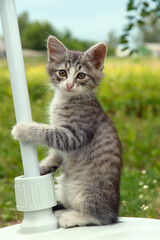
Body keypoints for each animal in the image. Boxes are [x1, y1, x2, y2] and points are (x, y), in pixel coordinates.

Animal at [12, 35, 121, 229]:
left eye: (81, 75)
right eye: (62, 72)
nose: (69, 84)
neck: (65, 99)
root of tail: (114, 212)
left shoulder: (74, 134)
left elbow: (47, 132)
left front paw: (23, 129)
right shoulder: (63, 142)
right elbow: (55, 155)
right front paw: (42, 168)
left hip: (90, 191)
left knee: (100, 218)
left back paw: (73, 217)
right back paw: (62, 211)